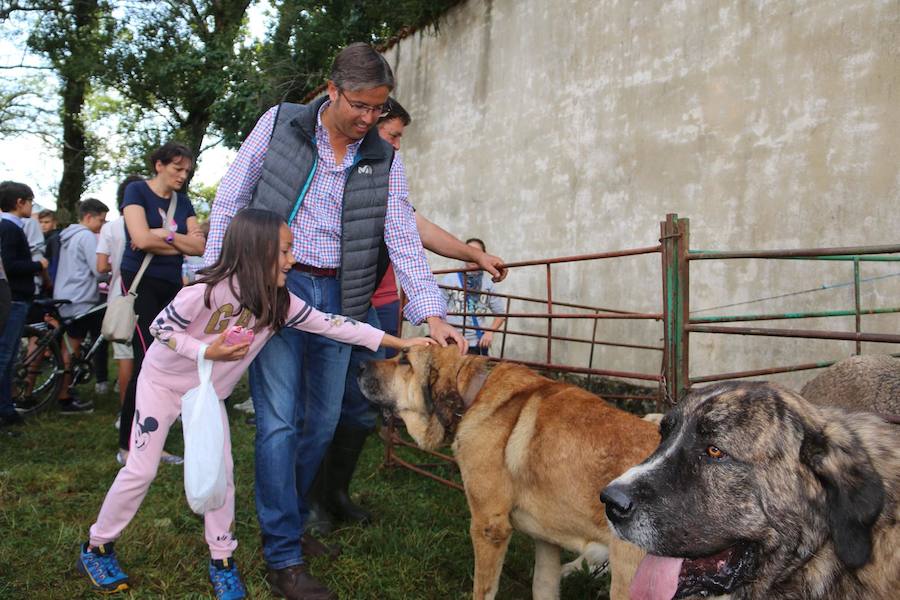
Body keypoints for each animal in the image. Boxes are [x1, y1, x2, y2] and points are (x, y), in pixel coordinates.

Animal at [358, 344, 660, 596]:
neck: (471, 395)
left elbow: (483, 590)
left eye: (404, 360)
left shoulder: (489, 527)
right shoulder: (546, 541)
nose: (359, 366)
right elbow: (543, 586)